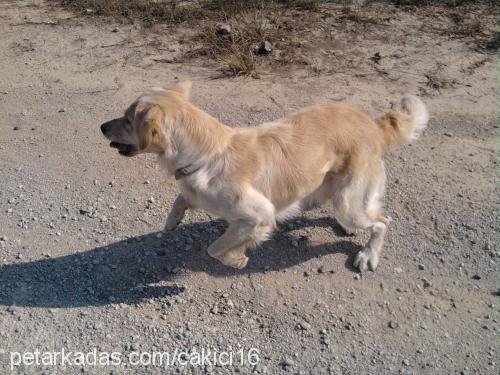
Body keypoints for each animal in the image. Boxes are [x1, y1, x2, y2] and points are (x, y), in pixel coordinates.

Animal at [99, 82, 428, 272]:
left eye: (127, 119)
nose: (101, 126)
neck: (207, 153)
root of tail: (372, 124)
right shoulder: (196, 193)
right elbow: (181, 200)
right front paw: (171, 223)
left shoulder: (259, 215)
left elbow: (215, 248)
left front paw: (237, 258)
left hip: (350, 203)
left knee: (381, 222)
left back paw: (368, 255)